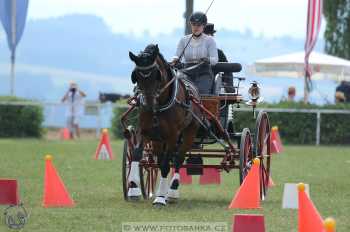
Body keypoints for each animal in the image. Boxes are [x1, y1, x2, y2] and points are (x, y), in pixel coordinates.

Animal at [127, 44, 201, 206]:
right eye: (136, 76)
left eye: (157, 75)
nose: (148, 104)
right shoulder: (144, 131)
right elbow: (136, 154)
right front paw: (133, 188)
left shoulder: (173, 135)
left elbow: (167, 165)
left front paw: (160, 198)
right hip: (158, 139)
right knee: (160, 160)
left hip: (189, 132)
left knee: (178, 159)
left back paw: (172, 192)